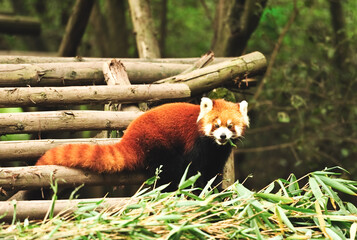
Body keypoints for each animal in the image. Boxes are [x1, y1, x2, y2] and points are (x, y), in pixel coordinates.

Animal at [36, 97, 248, 189]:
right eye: (216, 125)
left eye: (230, 127)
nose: (222, 136)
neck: (214, 146)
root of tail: (131, 137)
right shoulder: (196, 142)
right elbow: (193, 169)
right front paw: (197, 188)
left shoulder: (218, 153)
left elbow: (212, 170)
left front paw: (214, 190)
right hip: (157, 143)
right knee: (171, 168)